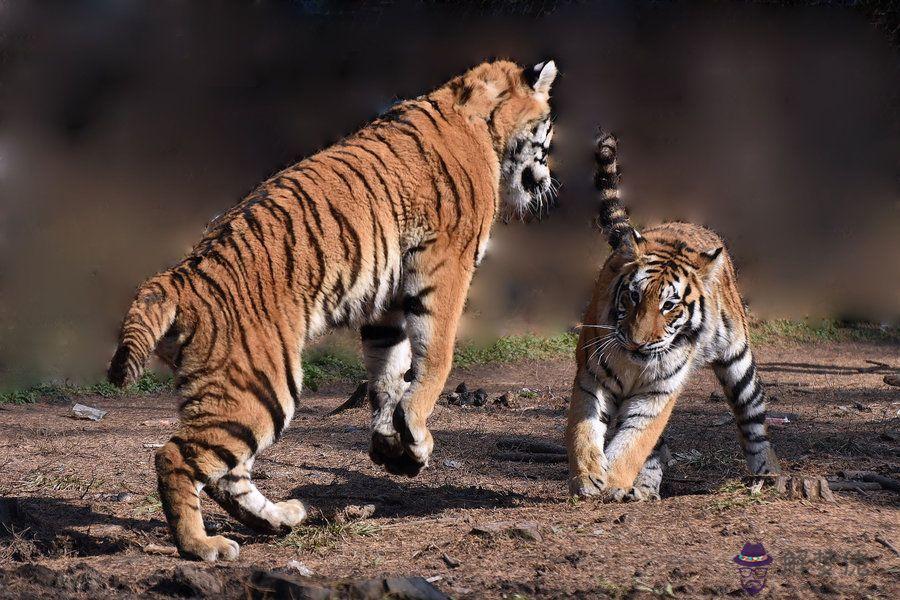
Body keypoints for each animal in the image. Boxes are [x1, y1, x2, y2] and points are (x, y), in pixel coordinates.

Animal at [109, 58, 560, 560]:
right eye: (548, 132)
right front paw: (415, 433)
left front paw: (394, 444)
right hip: (263, 386)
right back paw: (202, 545)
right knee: (175, 456)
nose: (547, 182)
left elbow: (389, 368)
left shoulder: (390, 296)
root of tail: (176, 277)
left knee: (229, 474)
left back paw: (280, 519)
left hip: (239, 391)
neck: (478, 113)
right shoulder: (446, 263)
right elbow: (436, 355)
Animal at [568, 131, 784, 502]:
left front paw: (612, 481)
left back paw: (767, 473)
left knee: (753, 420)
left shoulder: (657, 394)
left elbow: (634, 442)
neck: (633, 363)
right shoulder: (591, 379)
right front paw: (588, 477)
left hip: (739, 362)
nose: (637, 343)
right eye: (633, 296)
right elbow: (584, 432)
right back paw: (644, 488)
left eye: (669, 305)